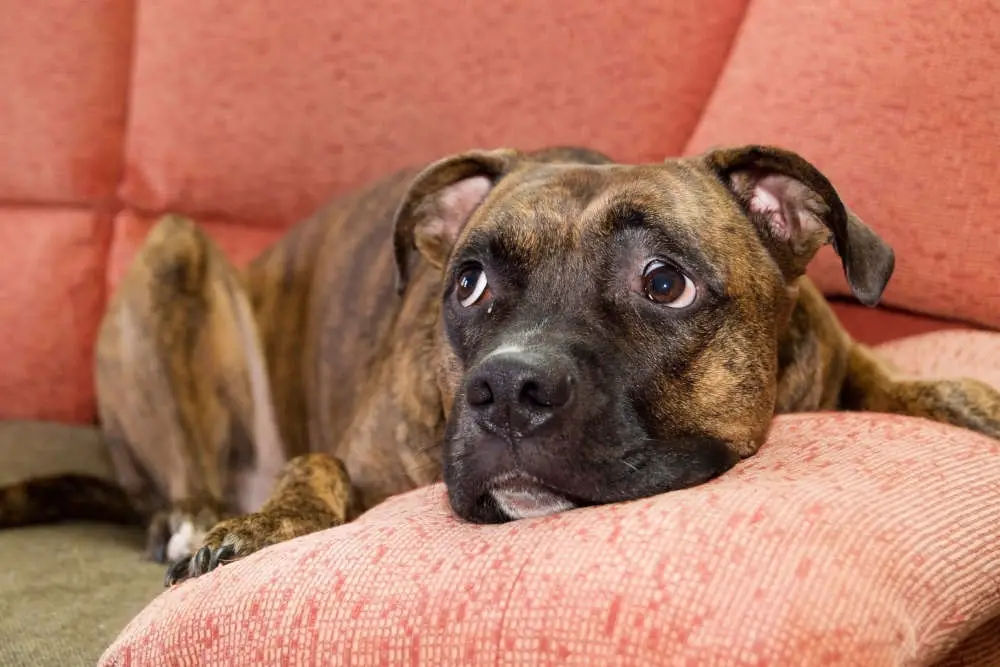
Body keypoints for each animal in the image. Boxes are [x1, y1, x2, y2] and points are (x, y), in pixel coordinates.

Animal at [3, 144, 996, 588]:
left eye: (664, 281)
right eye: (470, 281)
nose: (506, 388)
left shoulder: (834, 346)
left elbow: (898, 382)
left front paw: (965, 398)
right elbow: (314, 462)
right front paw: (263, 524)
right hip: (172, 250)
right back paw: (192, 515)